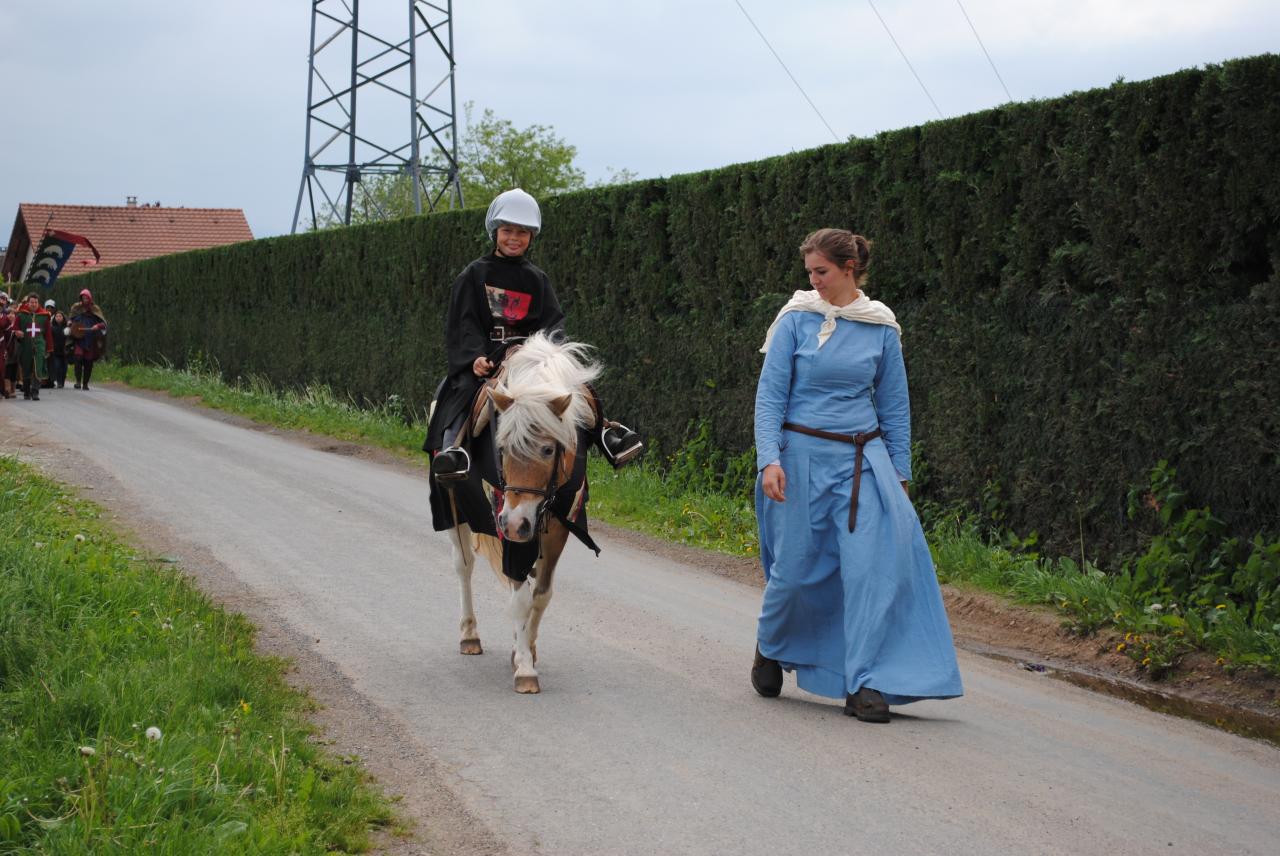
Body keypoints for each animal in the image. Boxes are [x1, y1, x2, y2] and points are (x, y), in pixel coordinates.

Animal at [445, 330, 604, 690]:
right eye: (501, 448)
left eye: (548, 449)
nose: (516, 523)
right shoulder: (507, 524)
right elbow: (519, 596)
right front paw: (525, 668)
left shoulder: (557, 526)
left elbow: (541, 595)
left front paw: (526, 649)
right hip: (458, 509)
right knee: (464, 566)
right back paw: (469, 635)